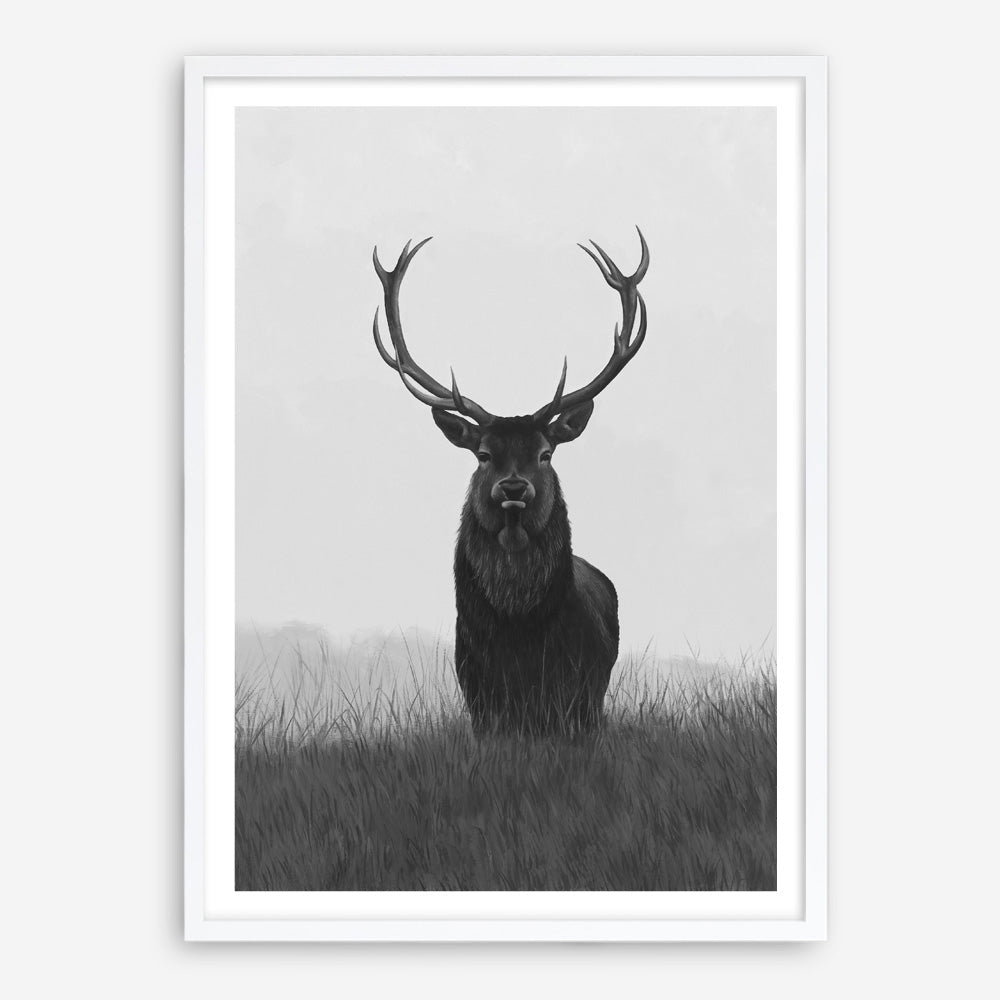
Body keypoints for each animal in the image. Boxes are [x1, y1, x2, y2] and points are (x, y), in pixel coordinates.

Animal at [372, 230, 650, 735]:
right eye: (483, 455)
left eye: (545, 452)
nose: (515, 488)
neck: (520, 637)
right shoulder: (479, 694)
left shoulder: (579, 696)